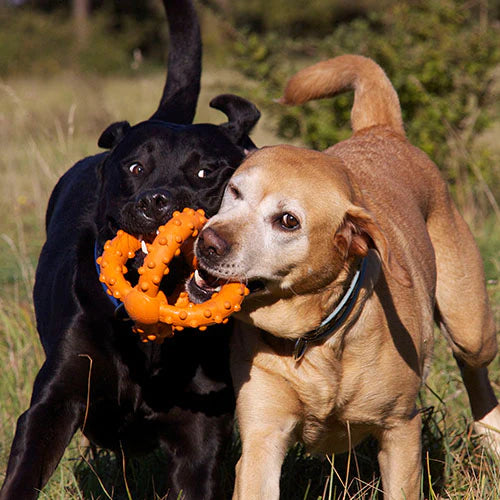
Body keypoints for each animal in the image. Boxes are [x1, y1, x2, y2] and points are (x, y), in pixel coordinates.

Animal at [0, 1, 258, 498]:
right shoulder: (55, 401)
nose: (158, 202)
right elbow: (26, 469)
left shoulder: (201, 437)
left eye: (206, 172)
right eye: (136, 167)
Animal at [186, 52, 498, 498]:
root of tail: (380, 130)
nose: (207, 242)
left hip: (470, 326)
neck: (314, 337)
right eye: (234, 191)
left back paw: (492, 436)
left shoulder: (401, 430)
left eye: (288, 221)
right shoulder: (262, 436)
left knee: (477, 372)